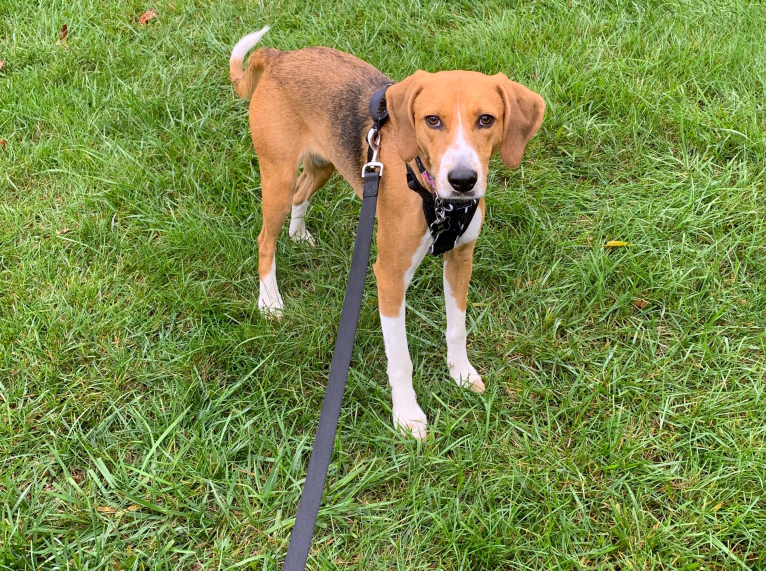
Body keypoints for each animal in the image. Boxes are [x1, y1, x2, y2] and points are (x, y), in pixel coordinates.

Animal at [230, 25, 544, 442]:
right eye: (432, 120)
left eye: (486, 119)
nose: (463, 180)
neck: (433, 195)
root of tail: (280, 56)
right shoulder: (391, 277)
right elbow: (400, 359)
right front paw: (407, 416)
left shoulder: (461, 259)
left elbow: (457, 328)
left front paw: (461, 374)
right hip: (276, 177)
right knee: (265, 239)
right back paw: (270, 302)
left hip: (323, 165)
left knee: (301, 193)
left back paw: (299, 234)